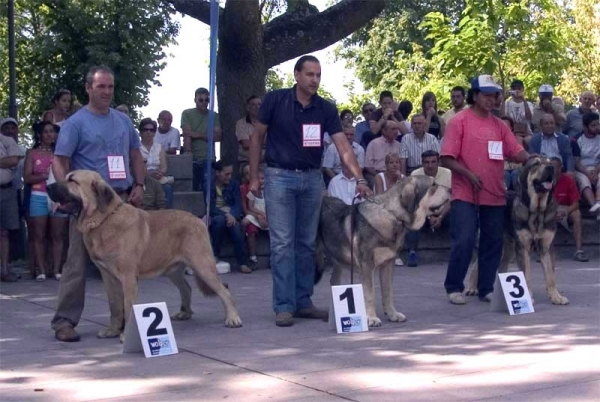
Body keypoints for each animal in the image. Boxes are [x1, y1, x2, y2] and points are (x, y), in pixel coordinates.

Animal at [48, 170, 243, 340]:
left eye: (72, 180)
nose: (48, 186)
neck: (104, 220)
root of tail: (200, 220)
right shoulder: (108, 276)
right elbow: (115, 305)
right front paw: (112, 331)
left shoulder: (127, 277)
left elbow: (128, 306)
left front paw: (126, 335)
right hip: (173, 270)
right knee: (186, 288)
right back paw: (185, 313)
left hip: (202, 265)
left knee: (224, 290)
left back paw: (233, 318)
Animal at [314, 176, 450, 326]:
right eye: (433, 185)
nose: (450, 189)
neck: (393, 215)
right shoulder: (367, 265)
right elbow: (369, 294)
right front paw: (371, 318)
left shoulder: (388, 264)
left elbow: (387, 292)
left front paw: (392, 314)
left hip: (339, 260)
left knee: (334, 281)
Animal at [466, 156, 568, 304]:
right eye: (536, 163)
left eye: (550, 163)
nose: (550, 168)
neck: (537, 211)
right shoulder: (523, 247)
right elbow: (526, 274)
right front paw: (528, 296)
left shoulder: (546, 246)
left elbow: (550, 275)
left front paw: (556, 297)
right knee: (476, 265)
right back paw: (472, 288)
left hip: (508, 249)